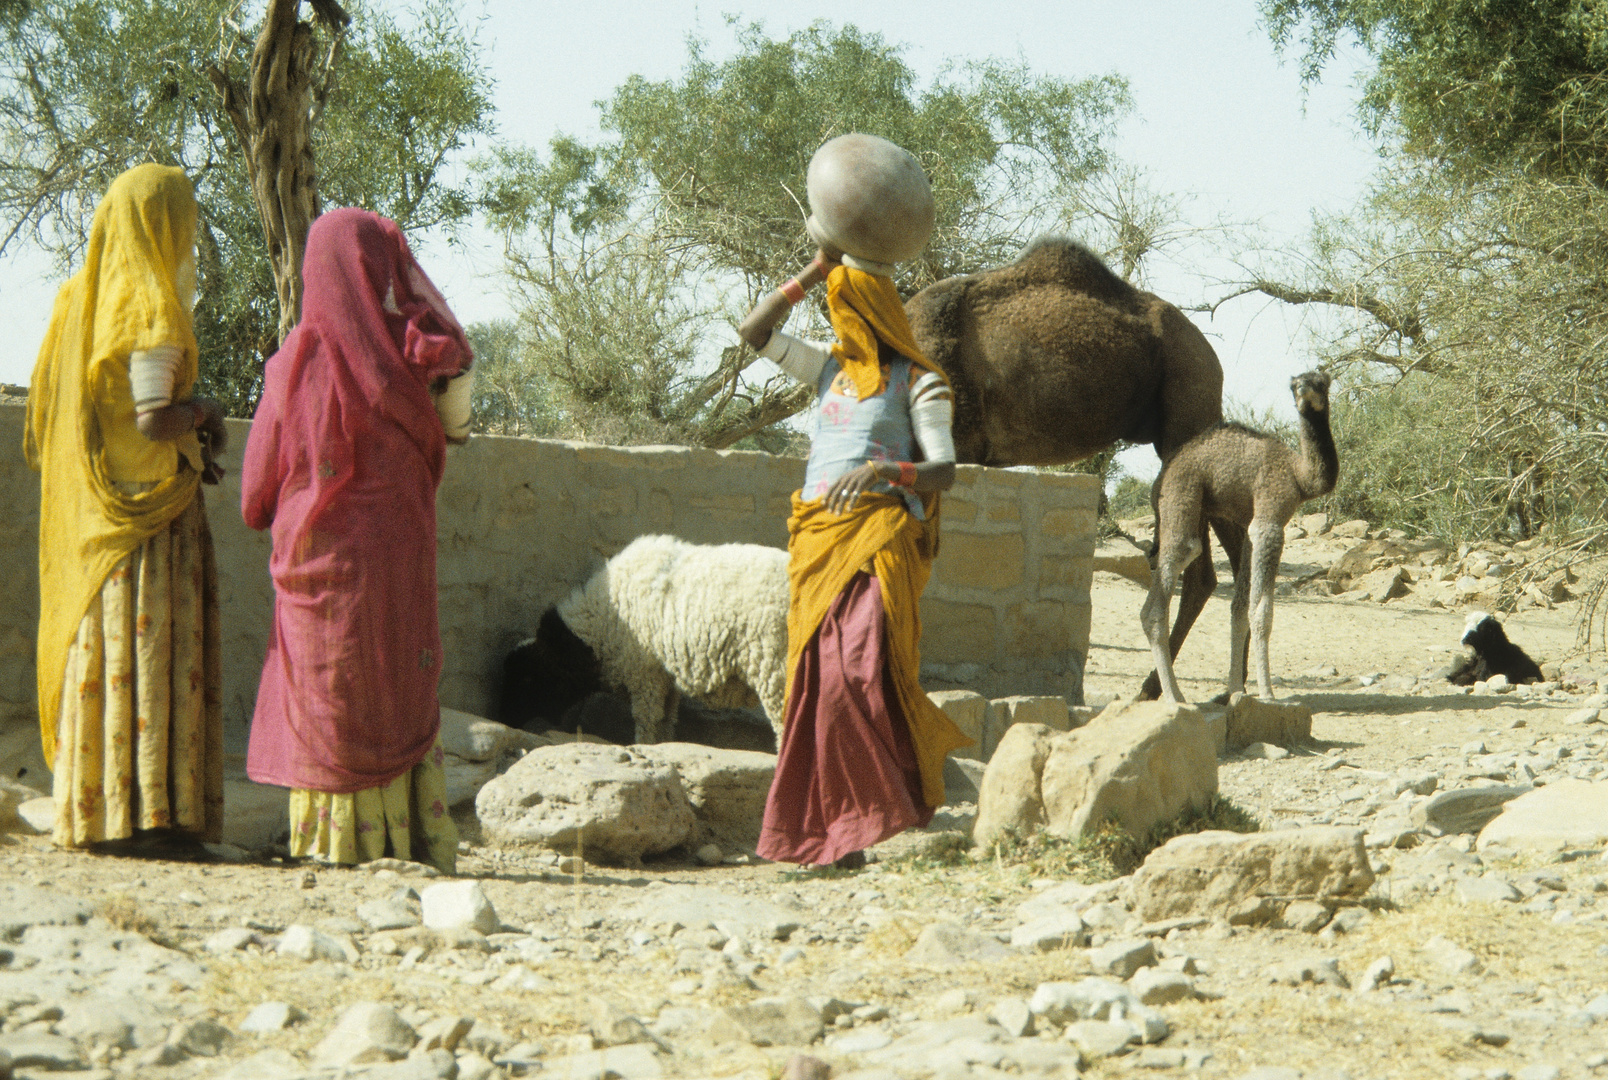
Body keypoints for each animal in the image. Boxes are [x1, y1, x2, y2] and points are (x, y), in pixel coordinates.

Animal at [495, 533, 784, 752]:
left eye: (527, 678)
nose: (506, 719)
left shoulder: (644, 672)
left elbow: (647, 719)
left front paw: (645, 748)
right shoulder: (665, 677)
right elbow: (666, 719)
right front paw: (665, 747)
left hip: (773, 665)